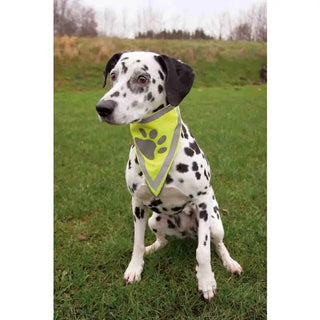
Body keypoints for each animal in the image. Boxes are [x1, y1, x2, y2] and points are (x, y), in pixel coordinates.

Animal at [95, 51, 242, 302]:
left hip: (215, 222)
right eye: (113, 75)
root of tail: (186, 233)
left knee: (218, 244)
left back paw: (229, 263)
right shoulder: (137, 204)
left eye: (142, 78)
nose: (102, 107)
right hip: (155, 220)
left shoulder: (203, 201)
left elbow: (203, 252)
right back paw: (152, 248)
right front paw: (135, 267)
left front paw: (206, 281)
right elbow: (136, 242)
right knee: (161, 239)